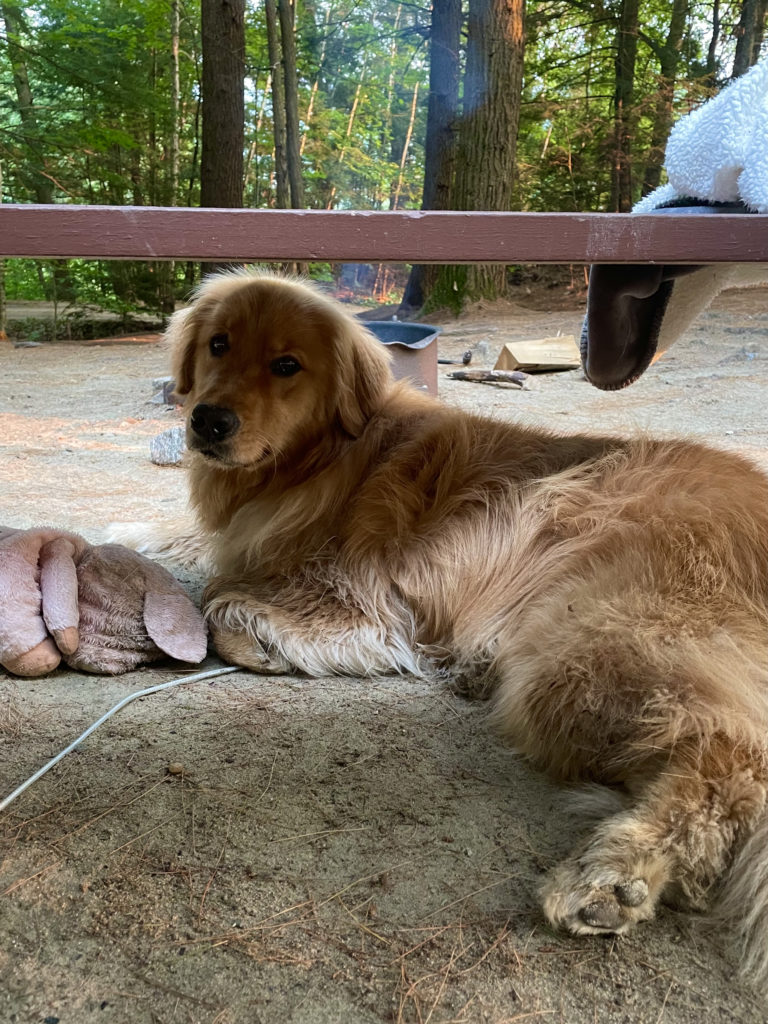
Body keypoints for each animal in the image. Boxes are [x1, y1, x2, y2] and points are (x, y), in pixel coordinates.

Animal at [112, 268, 768, 978]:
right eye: (219, 345)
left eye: (287, 365)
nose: (207, 420)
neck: (320, 455)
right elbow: (190, 544)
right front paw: (129, 531)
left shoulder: (360, 595)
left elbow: (220, 599)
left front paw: (254, 638)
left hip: (581, 652)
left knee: (736, 754)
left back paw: (614, 874)